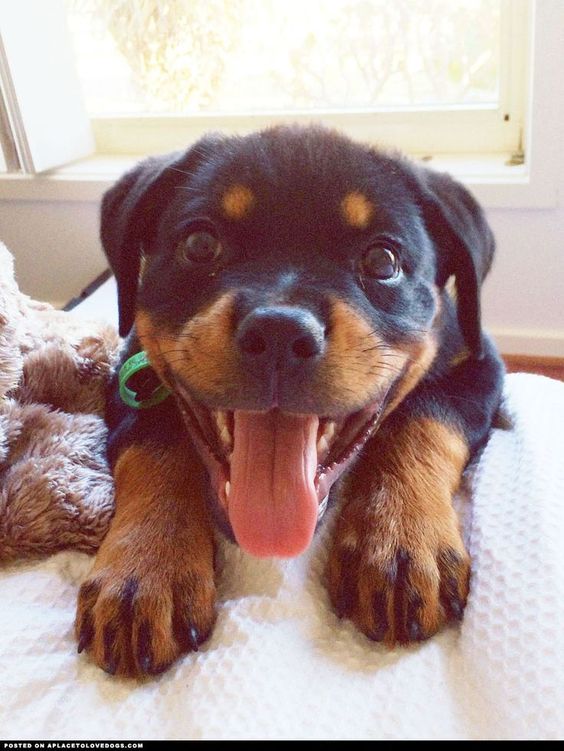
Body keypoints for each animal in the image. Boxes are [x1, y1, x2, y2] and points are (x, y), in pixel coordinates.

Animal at [75, 126, 502, 680]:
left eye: (383, 261)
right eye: (199, 244)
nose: (279, 333)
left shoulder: (479, 364)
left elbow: (424, 419)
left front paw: (401, 539)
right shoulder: (132, 369)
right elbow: (155, 446)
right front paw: (146, 566)